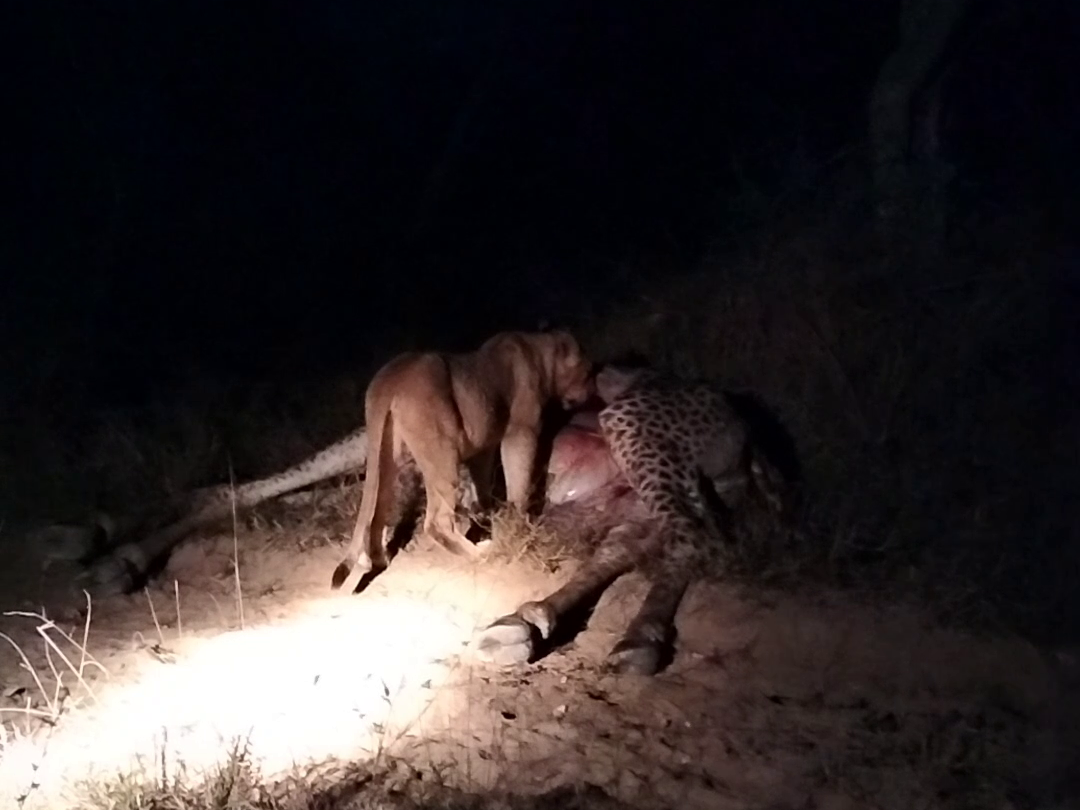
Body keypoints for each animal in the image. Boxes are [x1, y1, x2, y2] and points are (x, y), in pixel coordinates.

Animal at [330, 329, 594, 591]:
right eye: (586, 372)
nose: (589, 394)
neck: (540, 353)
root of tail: (387, 380)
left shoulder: (482, 446)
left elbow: (483, 487)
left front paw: (485, 517)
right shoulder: (520, 432)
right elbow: (519, 481)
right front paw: (519, 522)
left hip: (388, 457)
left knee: (376, 515)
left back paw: (377, 560)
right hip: (442, 457)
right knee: (436, 522)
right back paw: (482, 553)